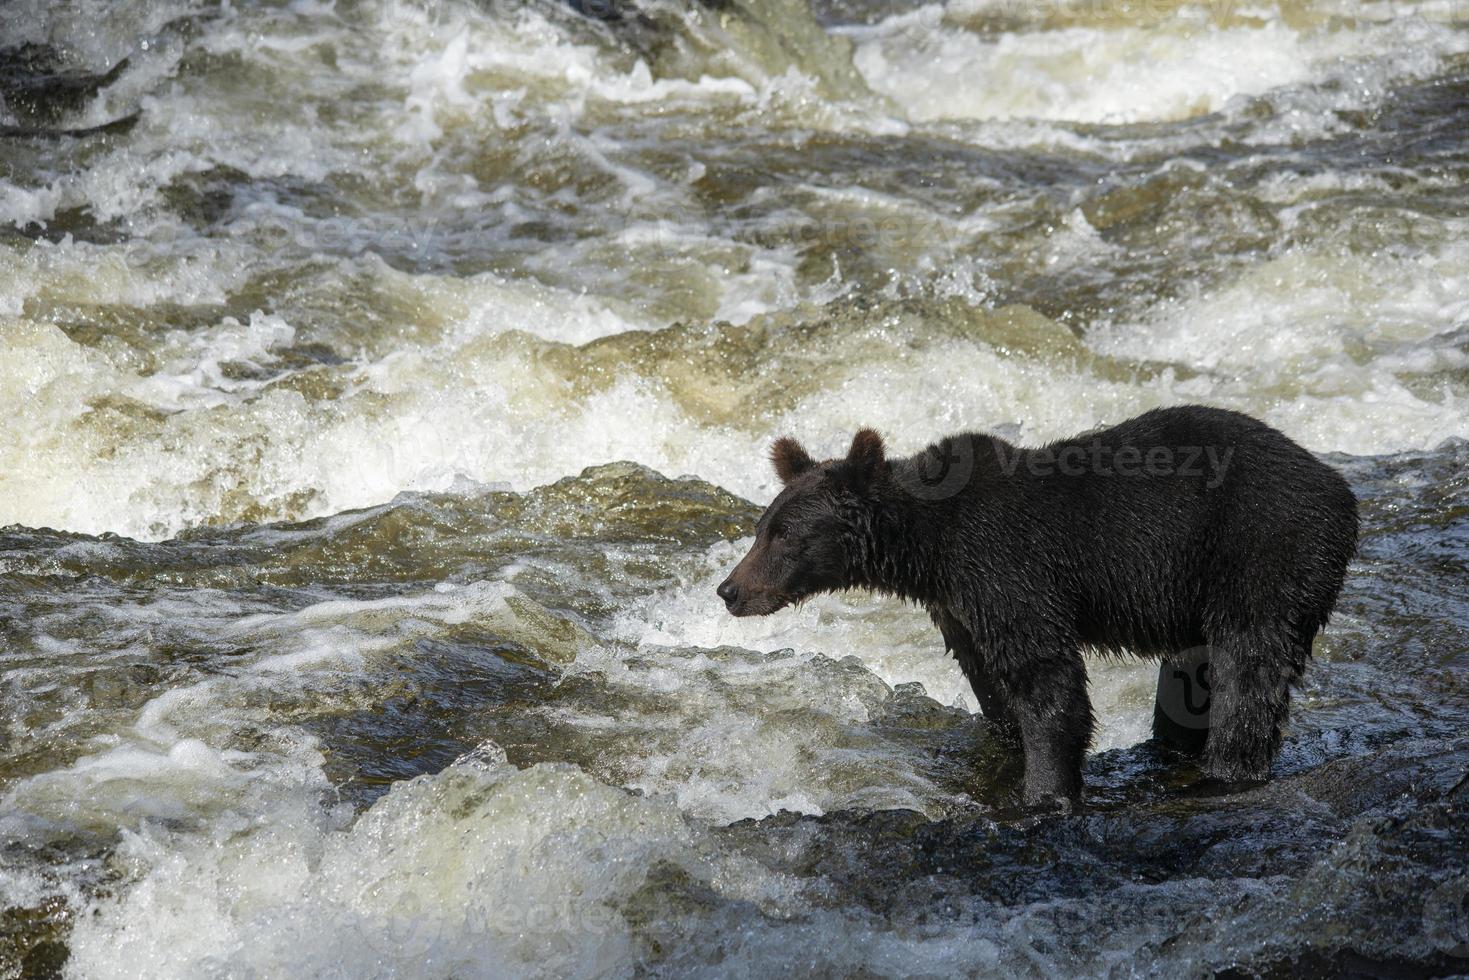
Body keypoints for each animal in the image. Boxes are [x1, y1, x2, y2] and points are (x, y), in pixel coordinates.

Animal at [716, 405, 1357, 805]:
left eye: (784, 536)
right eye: (761, 528)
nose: (729, 591)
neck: (930, 546)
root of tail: (1342, 491)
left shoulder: (1008, 567)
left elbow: (1047, 681)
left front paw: (1046, 791)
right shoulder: (958, 604)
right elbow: (990, 682)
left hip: (1262, 552)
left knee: (1248, 669)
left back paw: (1225, 771)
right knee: (1189, 679)